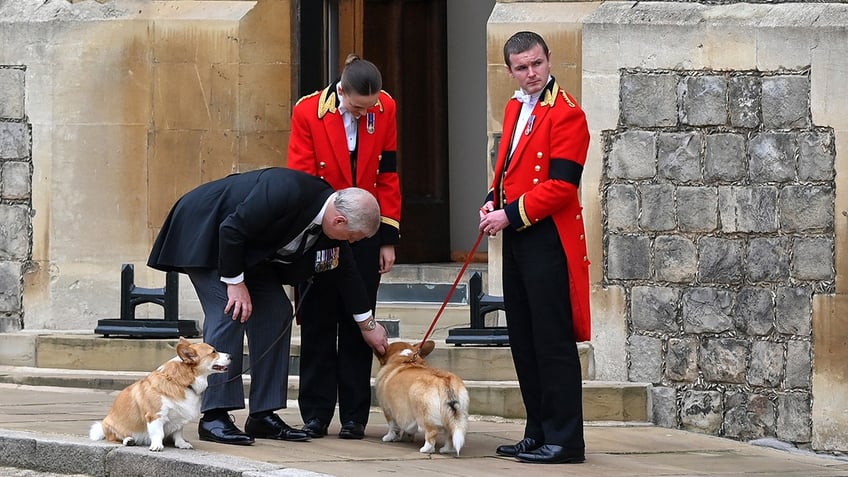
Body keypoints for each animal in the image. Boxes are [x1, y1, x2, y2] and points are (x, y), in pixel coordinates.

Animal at [88, 334, 230, 450]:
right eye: (213, 352)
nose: (231, 356)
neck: (181, 381)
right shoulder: (155, 416)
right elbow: (157, 433)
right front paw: (157, 446)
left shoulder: (179, 417)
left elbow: (178, 432)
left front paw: (181, 444)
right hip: (110, 425)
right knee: (115, 437)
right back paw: (128, 440)